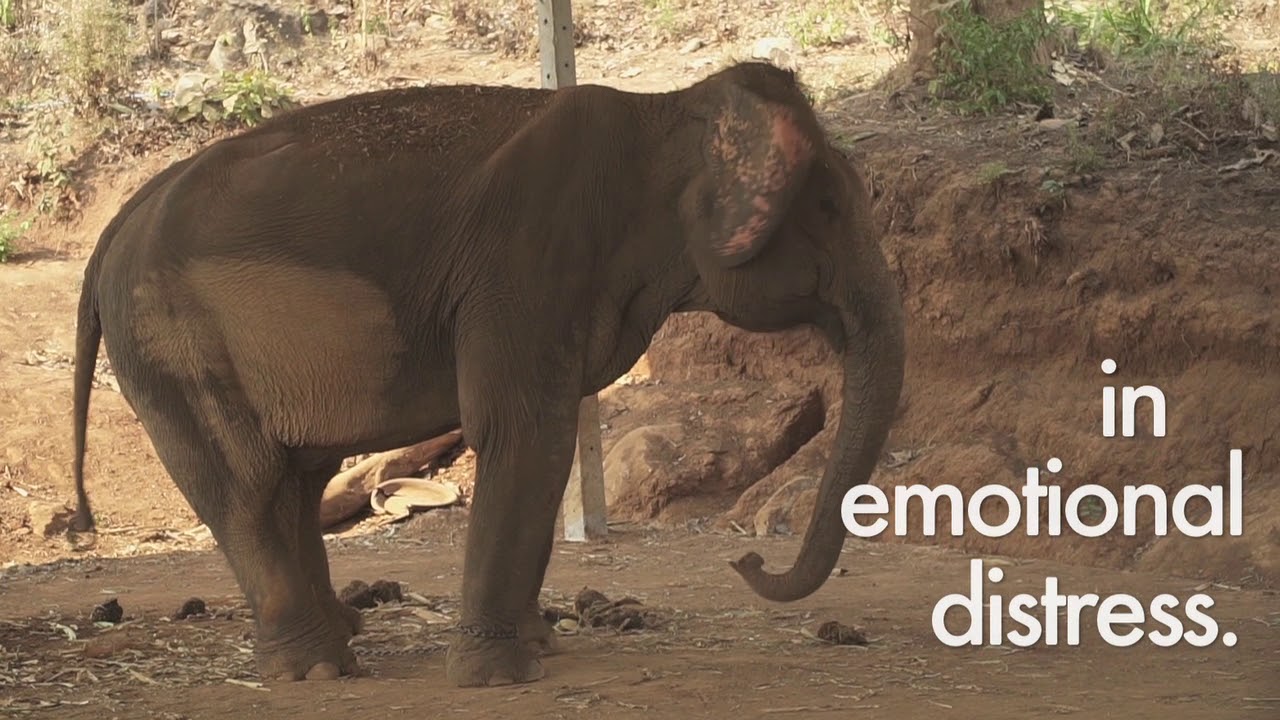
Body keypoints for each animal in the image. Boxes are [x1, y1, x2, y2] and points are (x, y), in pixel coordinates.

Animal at [69, 61, 906, 687]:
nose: (746, 556)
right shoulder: (527, 261)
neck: (665, 115)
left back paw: (345, 631)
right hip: (174, 343)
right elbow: (525, 427)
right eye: (829, 208)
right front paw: (500, 676)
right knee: (247, 483)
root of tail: (113, 230)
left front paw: (540, 646)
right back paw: (315, 670)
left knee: (298, 477)